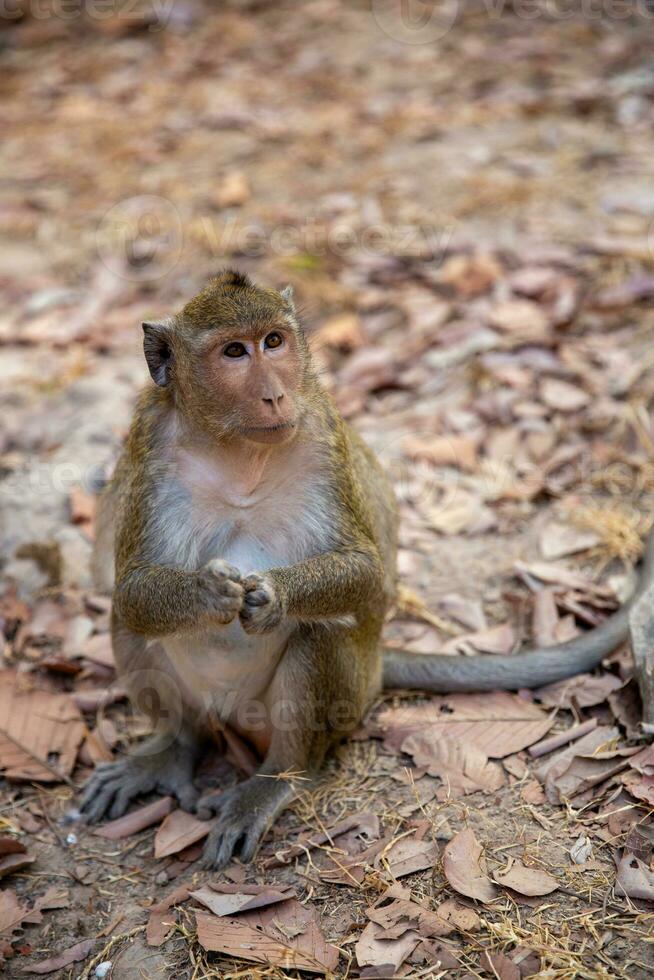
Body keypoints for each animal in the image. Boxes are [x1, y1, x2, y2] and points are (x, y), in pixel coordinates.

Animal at [80, 268, 654, 864]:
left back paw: (277, 781)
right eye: (234, 351)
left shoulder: (320, 431)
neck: (237, 452)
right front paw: (209, 594)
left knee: (318, 637)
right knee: (131, 628)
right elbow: (132, 592)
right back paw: (175, 746)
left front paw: (275, 595)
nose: (275, 394)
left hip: (343, 699)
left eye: (274, 342)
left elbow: (364, 572)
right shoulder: (150, 441)